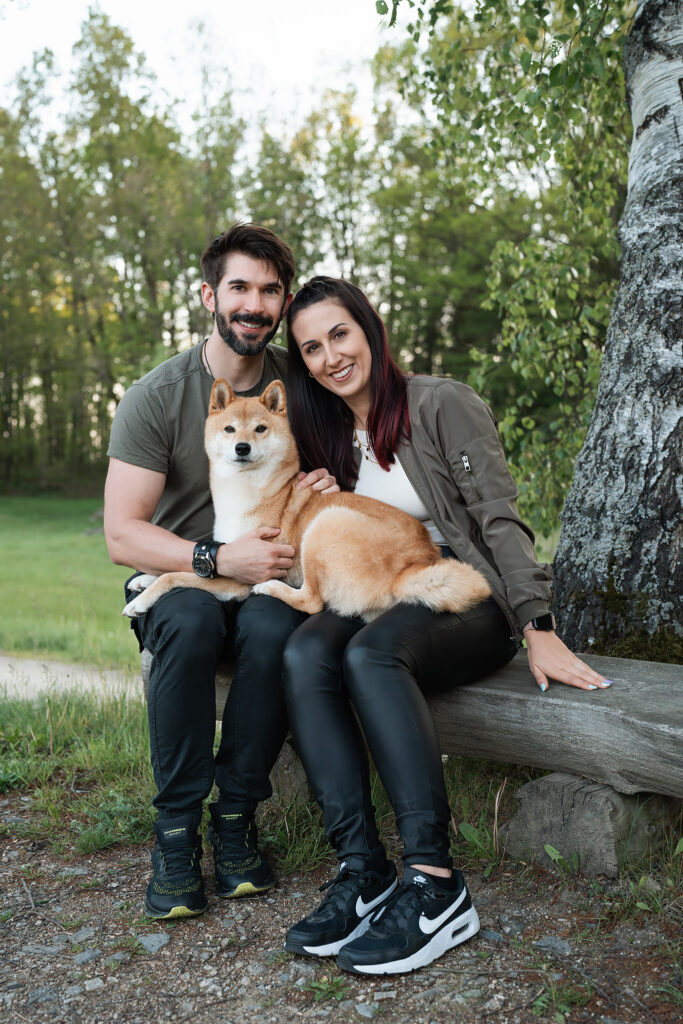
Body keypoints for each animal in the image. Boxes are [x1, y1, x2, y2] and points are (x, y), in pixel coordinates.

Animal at [121, 376, 491, 614]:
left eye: (260, 428)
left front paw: (141, 601)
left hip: (326, 524)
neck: (248, 490)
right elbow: (178, 569)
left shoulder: (238, 577)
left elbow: (175, 576)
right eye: (229, 429)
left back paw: (272, 589)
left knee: (312, 602)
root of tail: (410, 570)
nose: (242, 447)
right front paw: (143, 579)